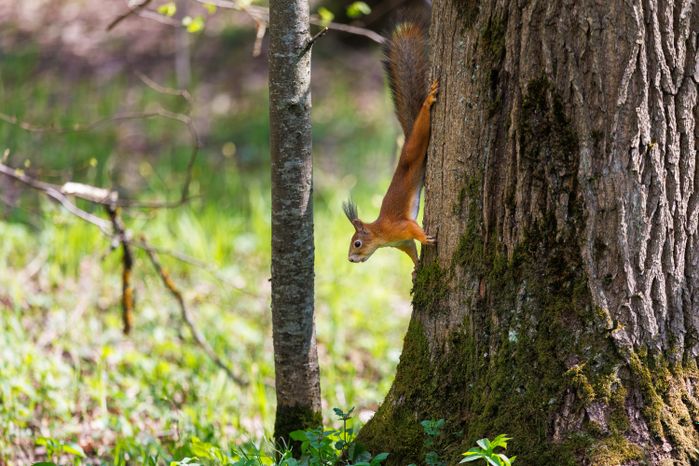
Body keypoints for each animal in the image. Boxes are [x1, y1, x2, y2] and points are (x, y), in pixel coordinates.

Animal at [343, 21, 438, 267]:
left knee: (421, 131)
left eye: (357, 243)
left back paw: (428, 102)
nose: (350, 259)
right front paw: (416, 269)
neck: (381, 234)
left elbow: (414, 228)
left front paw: (426, 239)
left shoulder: (401, 226)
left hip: (414, 148)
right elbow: (411, 250)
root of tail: (407, 138)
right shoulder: (402, 242)